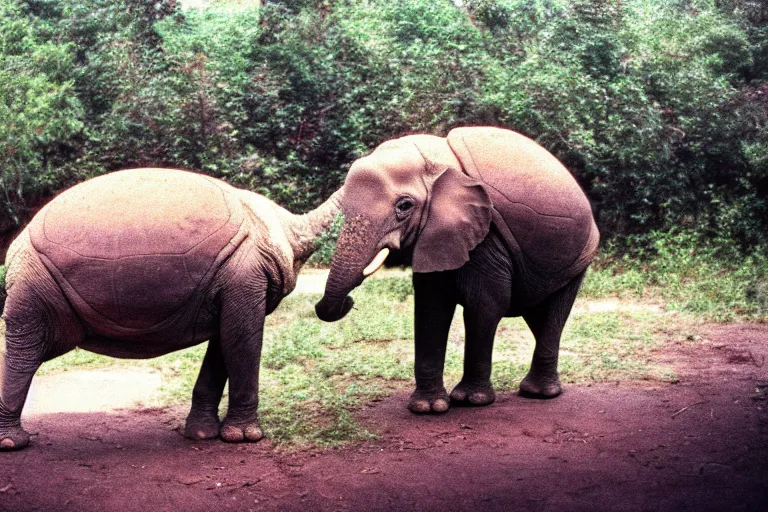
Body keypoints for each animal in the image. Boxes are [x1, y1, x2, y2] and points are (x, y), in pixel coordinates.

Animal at [0, 168, 342, 448]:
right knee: (27, 350)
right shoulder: (246, 272)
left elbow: (224, 340)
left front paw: (202, 435)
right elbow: (241, 339)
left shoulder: (230, 275)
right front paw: (245, 438)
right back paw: (12, 444)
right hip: (36, 282)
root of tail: (17, 245)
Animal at [316, 126, 600, 414]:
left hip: (580, 255)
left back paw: (539, 394)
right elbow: (431, 307)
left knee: (553, 313)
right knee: (538, 316)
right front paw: (428, 407)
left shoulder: (485, 230)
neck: (436, 162)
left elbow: (486, 304)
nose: (348, 301)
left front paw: (470, 400)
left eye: (404, 206)